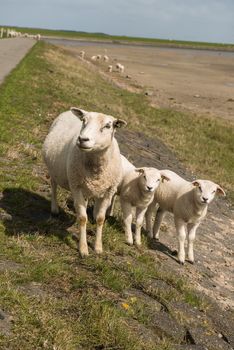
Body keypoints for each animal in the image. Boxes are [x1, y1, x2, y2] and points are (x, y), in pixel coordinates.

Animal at [42, 106, 126, 258]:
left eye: (108, 126)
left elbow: (100, 219)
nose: (82, 139)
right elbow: (82, 218)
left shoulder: (108, 192)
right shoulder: (76, 187)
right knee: (54, 185)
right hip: (54, 170)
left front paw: (98, 247)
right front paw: (83, 249)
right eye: (84, 121)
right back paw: (54, 209)